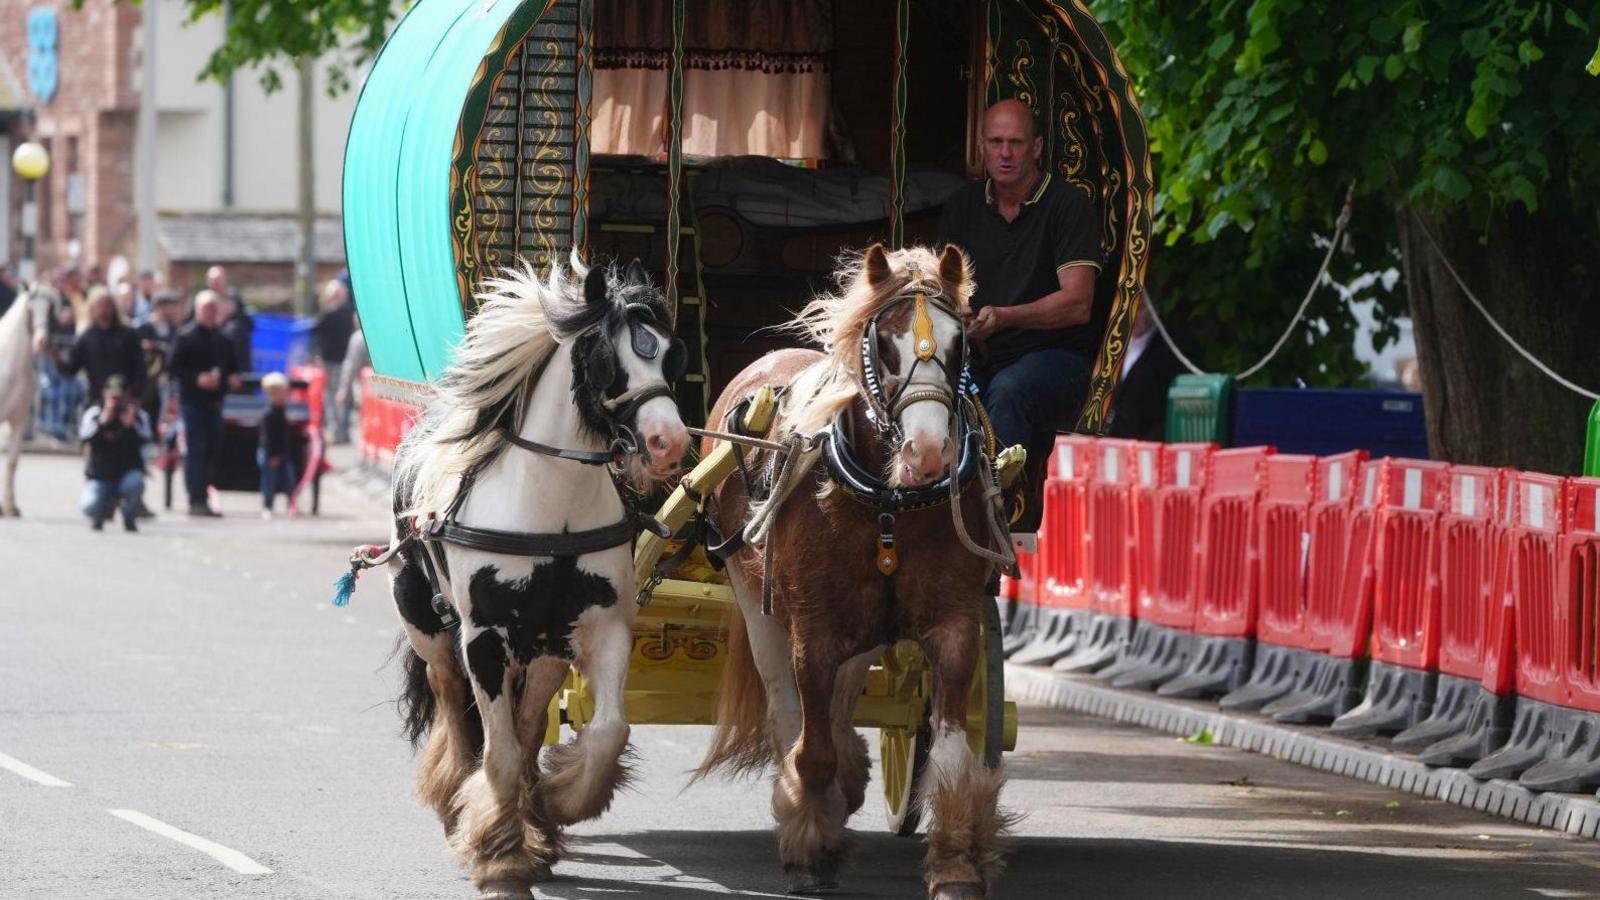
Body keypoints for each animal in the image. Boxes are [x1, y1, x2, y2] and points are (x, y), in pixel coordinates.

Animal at [390, 256, 691, 890]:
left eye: (668, 354)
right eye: (605, 358)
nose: (668, 442)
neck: (554, 514)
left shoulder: (602, 629)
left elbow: (606, 732)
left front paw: (554, 804)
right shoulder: (483, 637)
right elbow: (498, 750)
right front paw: (499, 854)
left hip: (546, 647)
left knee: (528, 725)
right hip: (427, 626)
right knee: (454, 706)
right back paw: (455, 802)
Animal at [697, 245, 1011, 896]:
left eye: (960, 344)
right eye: (884, 344)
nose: (927, 454)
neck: (888, 504)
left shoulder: (954, 625)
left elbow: (950, 756)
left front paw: (956, 863)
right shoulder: (812, 631)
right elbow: (809, 749)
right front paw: (806, 849)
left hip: (863, 630)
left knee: (842, 704)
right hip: (755, 600)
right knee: (787, 711)